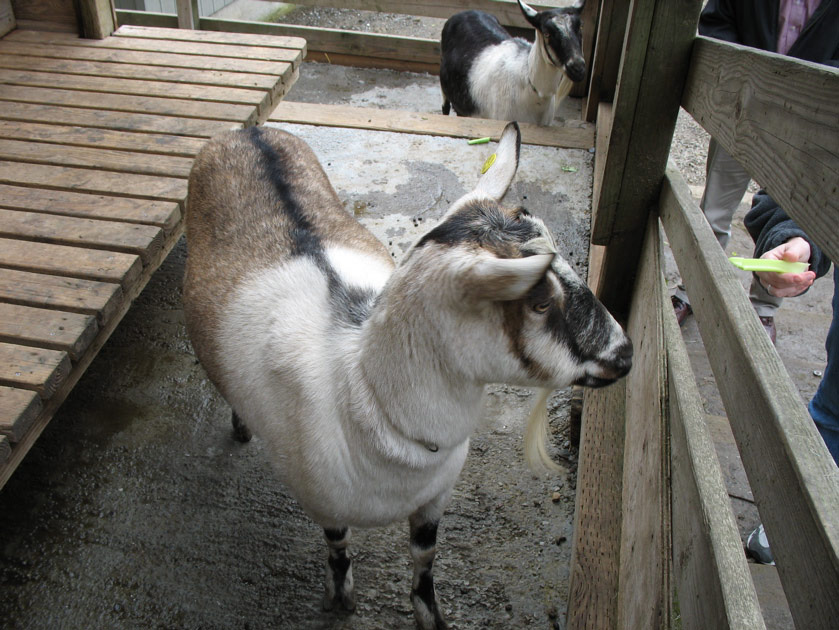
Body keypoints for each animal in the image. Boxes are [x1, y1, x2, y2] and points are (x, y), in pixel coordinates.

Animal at [184, 123, 632, 630]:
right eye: (538, 302)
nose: (625, 354)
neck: (360, 390)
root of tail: (248, 131)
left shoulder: (434, 497)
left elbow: (424, 555)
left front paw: (429, 613)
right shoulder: (324, 503)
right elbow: (338, 547)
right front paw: (341, 597)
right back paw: (240, 425)